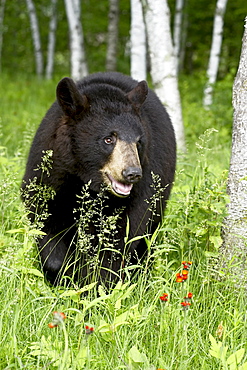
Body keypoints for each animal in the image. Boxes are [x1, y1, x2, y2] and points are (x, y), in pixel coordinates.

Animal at [21, 72, 176, 286]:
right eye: (108, 139)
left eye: (138, 142)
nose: (132, 173)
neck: (85, 180)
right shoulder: (51, 176)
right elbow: (46, 222)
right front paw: (62, 274)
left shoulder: (140, 194)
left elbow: (118, 241)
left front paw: (96, 284)